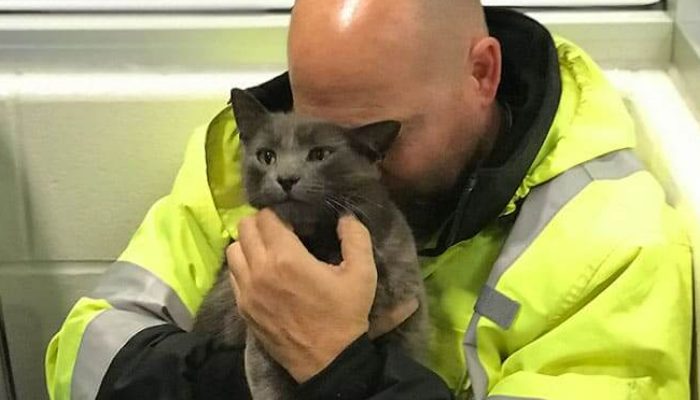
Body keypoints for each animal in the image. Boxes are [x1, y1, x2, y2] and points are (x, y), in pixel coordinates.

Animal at [191, 89, 426, 398]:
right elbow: (269, 384)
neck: (319, 243)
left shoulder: (409, 321)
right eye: (267, 156)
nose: (286, 178)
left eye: (319, 154)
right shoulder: (261, 339)